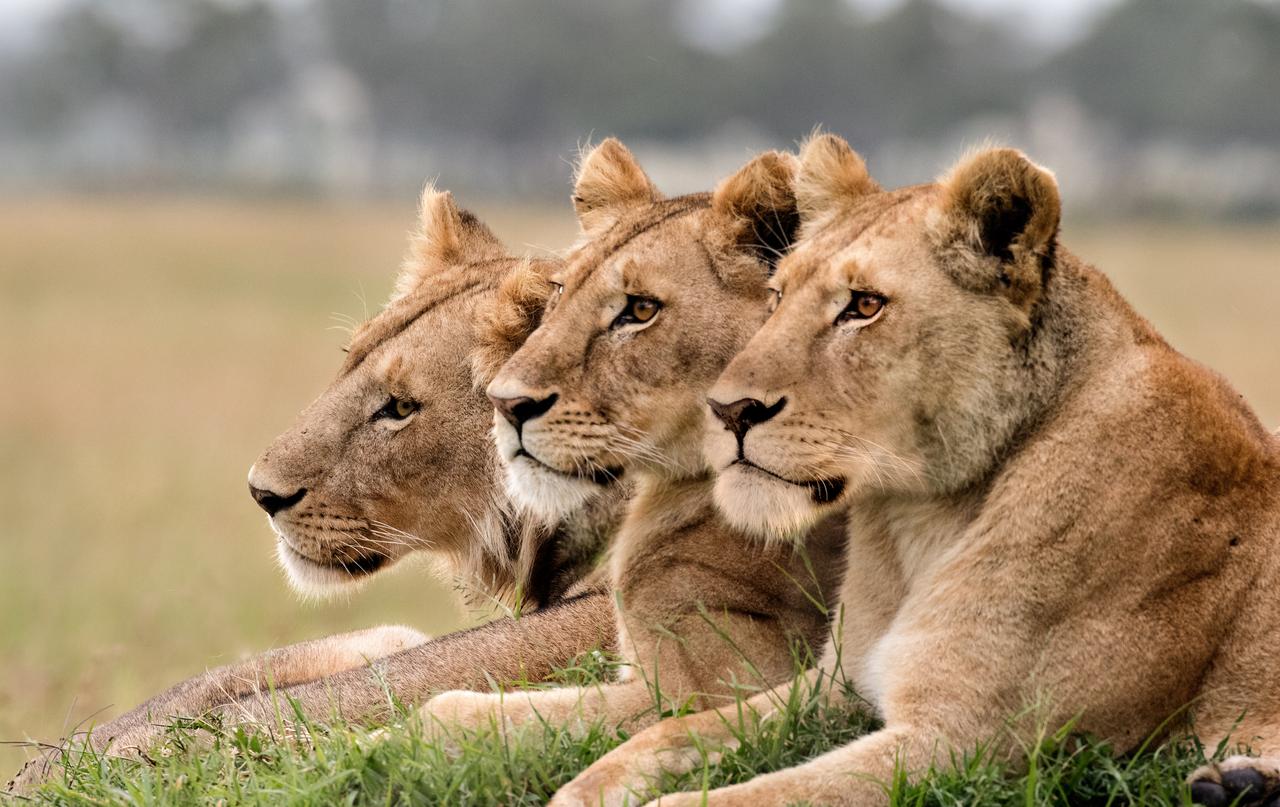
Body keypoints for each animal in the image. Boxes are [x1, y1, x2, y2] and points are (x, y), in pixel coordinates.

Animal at [551, 133, 1280, 807]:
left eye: (865, 305)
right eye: (777, 296)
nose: (728, 409)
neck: (920, 520)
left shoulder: (971, 742)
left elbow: (763, 794)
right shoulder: (834, 684)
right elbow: (676, 731)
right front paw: (585, 788)